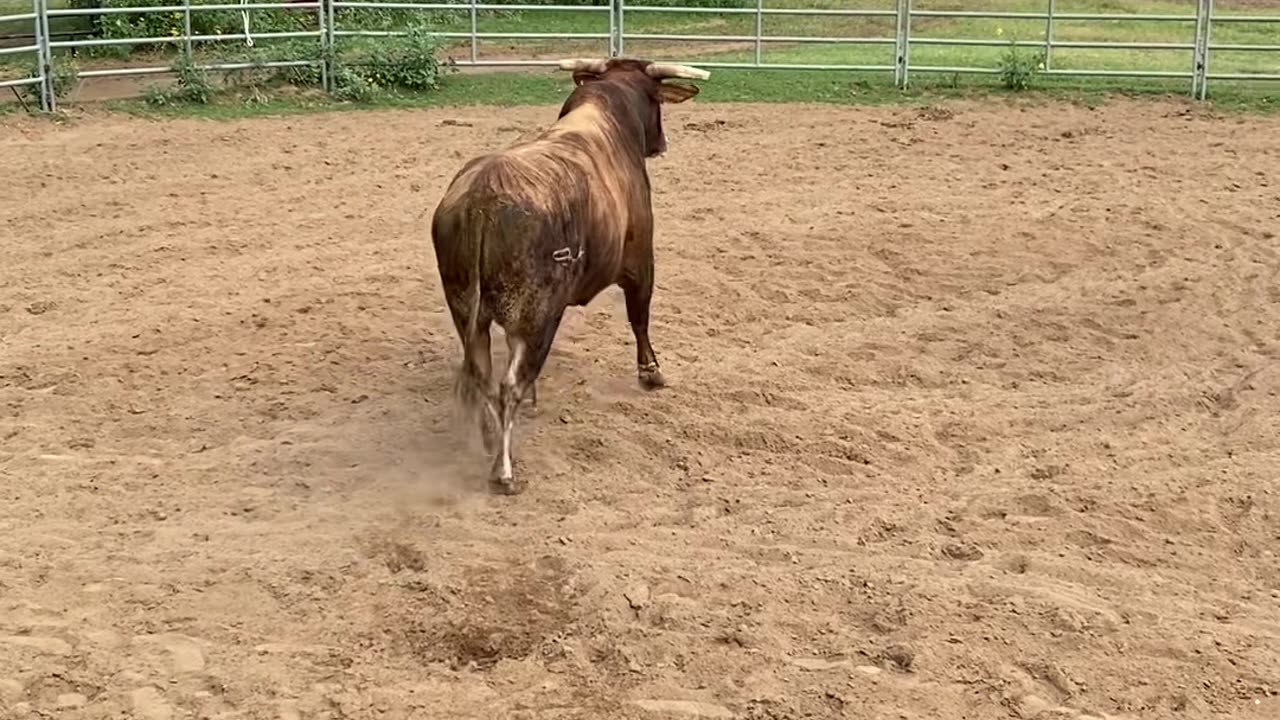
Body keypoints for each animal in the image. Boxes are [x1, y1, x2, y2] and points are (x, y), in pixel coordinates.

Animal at [429, 56, 710, 495]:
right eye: (655, 101)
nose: (661, 144)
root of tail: (482, 200)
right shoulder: (641, 264)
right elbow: (640, 319)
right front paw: (651, 373)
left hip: (468, 313)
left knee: (483, 376)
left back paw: (491, 435)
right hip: (540, 314)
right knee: (508, 385)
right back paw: (503, 470)